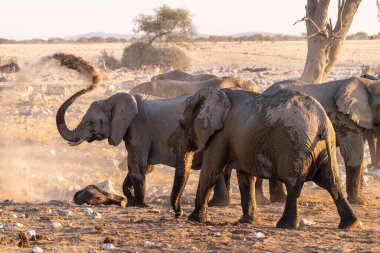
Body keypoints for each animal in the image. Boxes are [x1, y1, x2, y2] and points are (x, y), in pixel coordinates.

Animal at [56, 89, 229, 217]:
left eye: (91, 122)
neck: (113, 100)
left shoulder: (138, 129)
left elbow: (136, 166)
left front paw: (140, 205)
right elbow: (144, 168)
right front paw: (131, 201)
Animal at [174, 88, 360, 230]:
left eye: (182, 124)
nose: (178, 213)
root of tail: (321, 118)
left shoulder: (220, 135)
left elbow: (211, 169)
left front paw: (194, 219)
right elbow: (245, 177)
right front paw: (246, 221)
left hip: (296, 144)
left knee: (294, 183)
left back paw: (285, 225)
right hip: (321, 147)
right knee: (330, 181)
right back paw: (351, 224)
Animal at [256, 76, 380, 205]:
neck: (369, 85)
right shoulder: (345, 119)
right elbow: (353, 154)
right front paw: (360, 201)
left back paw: (278, 200)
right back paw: (267, 201)